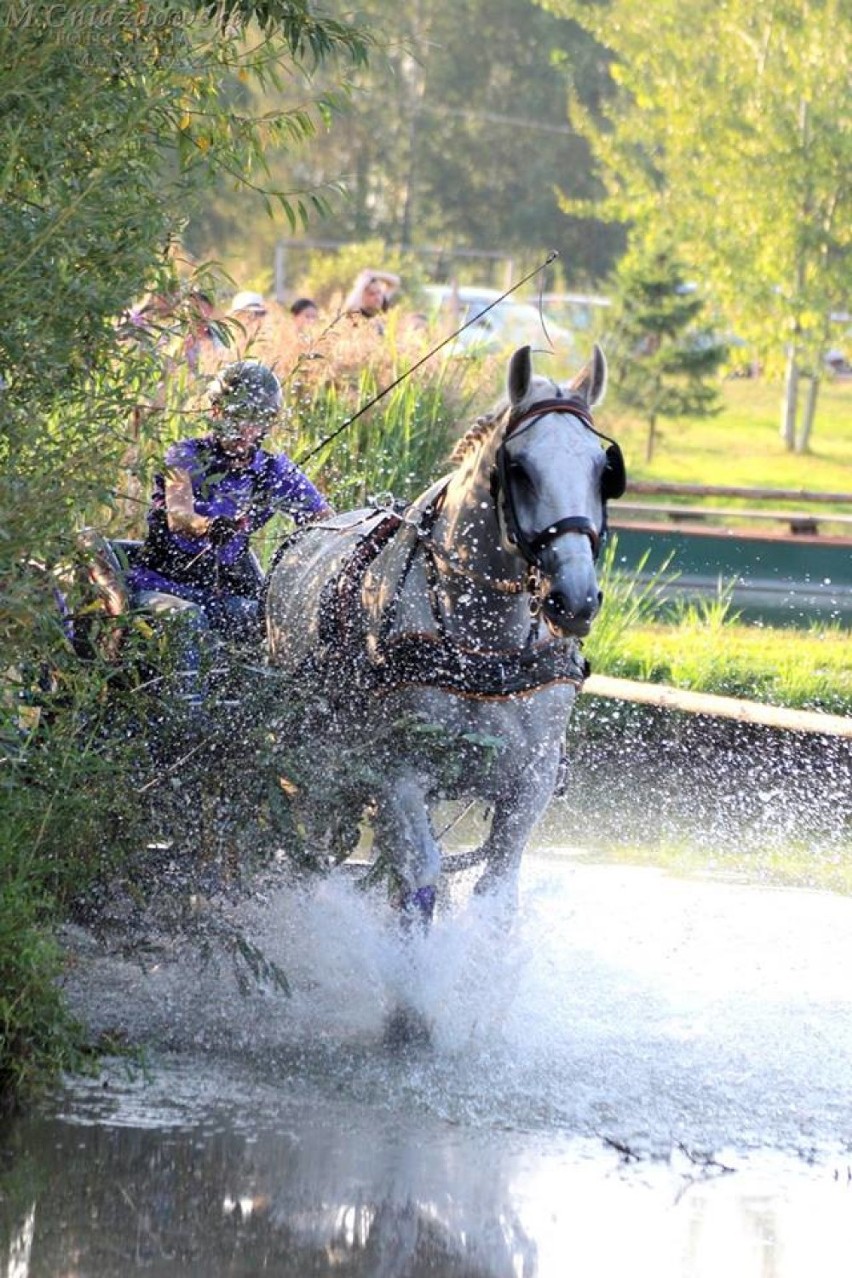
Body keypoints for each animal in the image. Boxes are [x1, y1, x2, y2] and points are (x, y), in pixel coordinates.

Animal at [268, 342, 625, 920]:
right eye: (521, 469)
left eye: (601, 471)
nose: (574, 599)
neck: (484, 645)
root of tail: (305, 536)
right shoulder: (397, 776)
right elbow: (419, 885)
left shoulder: (532, 781)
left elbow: (495, 892)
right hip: (314, 763)